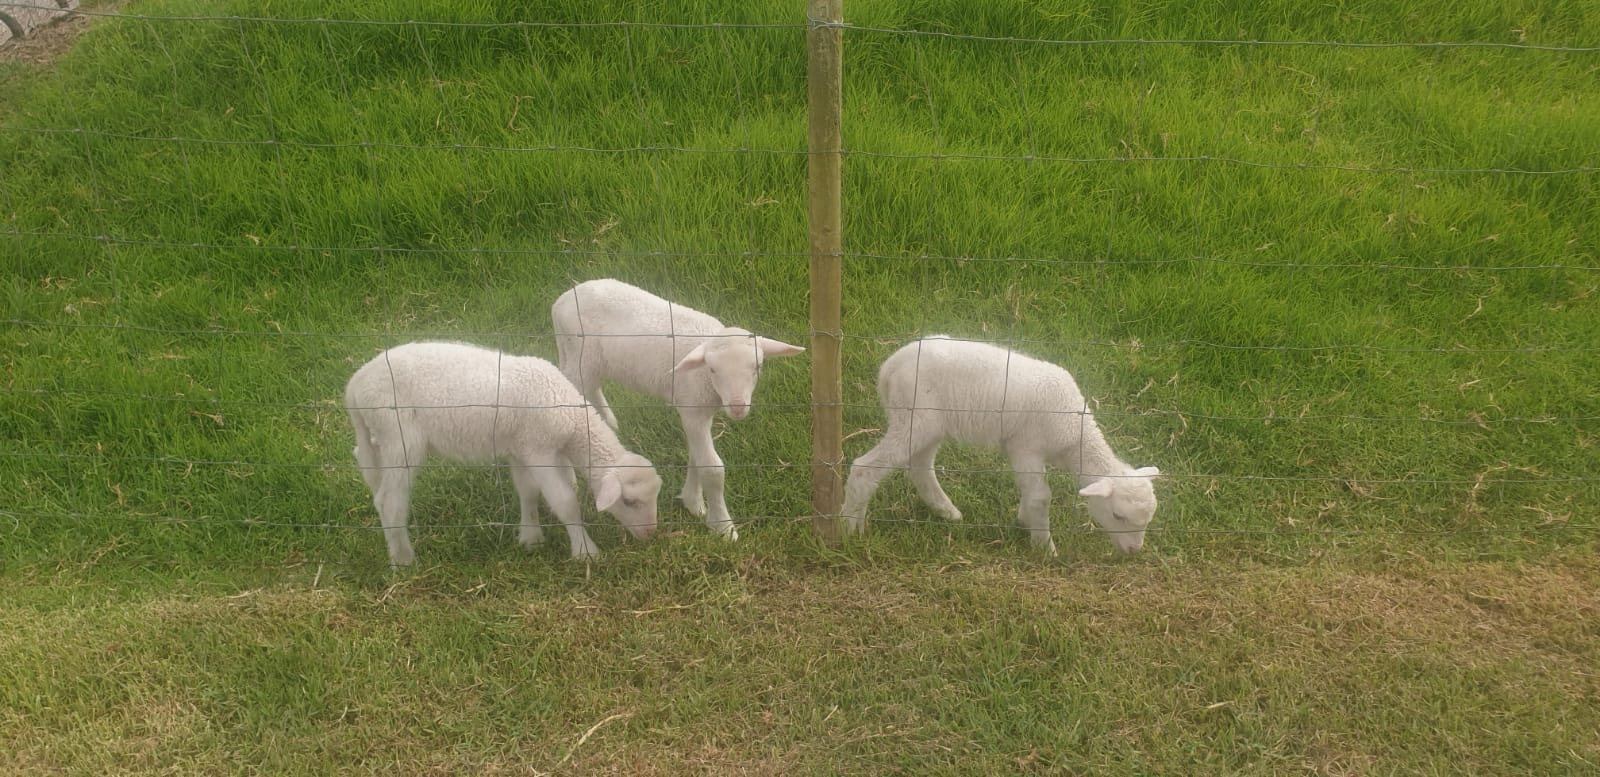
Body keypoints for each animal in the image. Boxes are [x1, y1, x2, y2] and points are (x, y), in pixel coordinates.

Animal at [345, 341, 663, 566]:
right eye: (629, 501)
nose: (651, 534)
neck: (571, 418)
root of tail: (354, 387)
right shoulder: (538, 450)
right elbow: (564, 501)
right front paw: (585, 552)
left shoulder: (520, 448)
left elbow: (528, 492)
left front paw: (531, 538)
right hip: (400, 435)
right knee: (389, 500)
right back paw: (403, 560)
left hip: (380, 435)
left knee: (366, 463)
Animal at [551, 279, 805, 540]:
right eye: (713, 369)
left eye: (758, 367)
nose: (737, 408)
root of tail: (563, 299)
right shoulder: (693, 410)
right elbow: (712, 468)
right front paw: (724, 527)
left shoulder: (698, 410)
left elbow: (696, 457)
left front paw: (693, 502)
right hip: (580, 357)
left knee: (592, 389)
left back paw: (608, 421)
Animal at [840, 336, 1159, 554]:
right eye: (1118, 515)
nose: (1134, 551)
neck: (1075, 436)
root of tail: (890, 366)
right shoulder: (1027, 446)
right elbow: (1041, 496)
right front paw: (1044, 547)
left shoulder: (1019, 448)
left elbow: (1030, 492)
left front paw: (1025, 521)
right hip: (914, 417)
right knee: (865, 468)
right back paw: (849, 527)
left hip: (928, 424)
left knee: (920, 467)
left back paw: (946, 511)